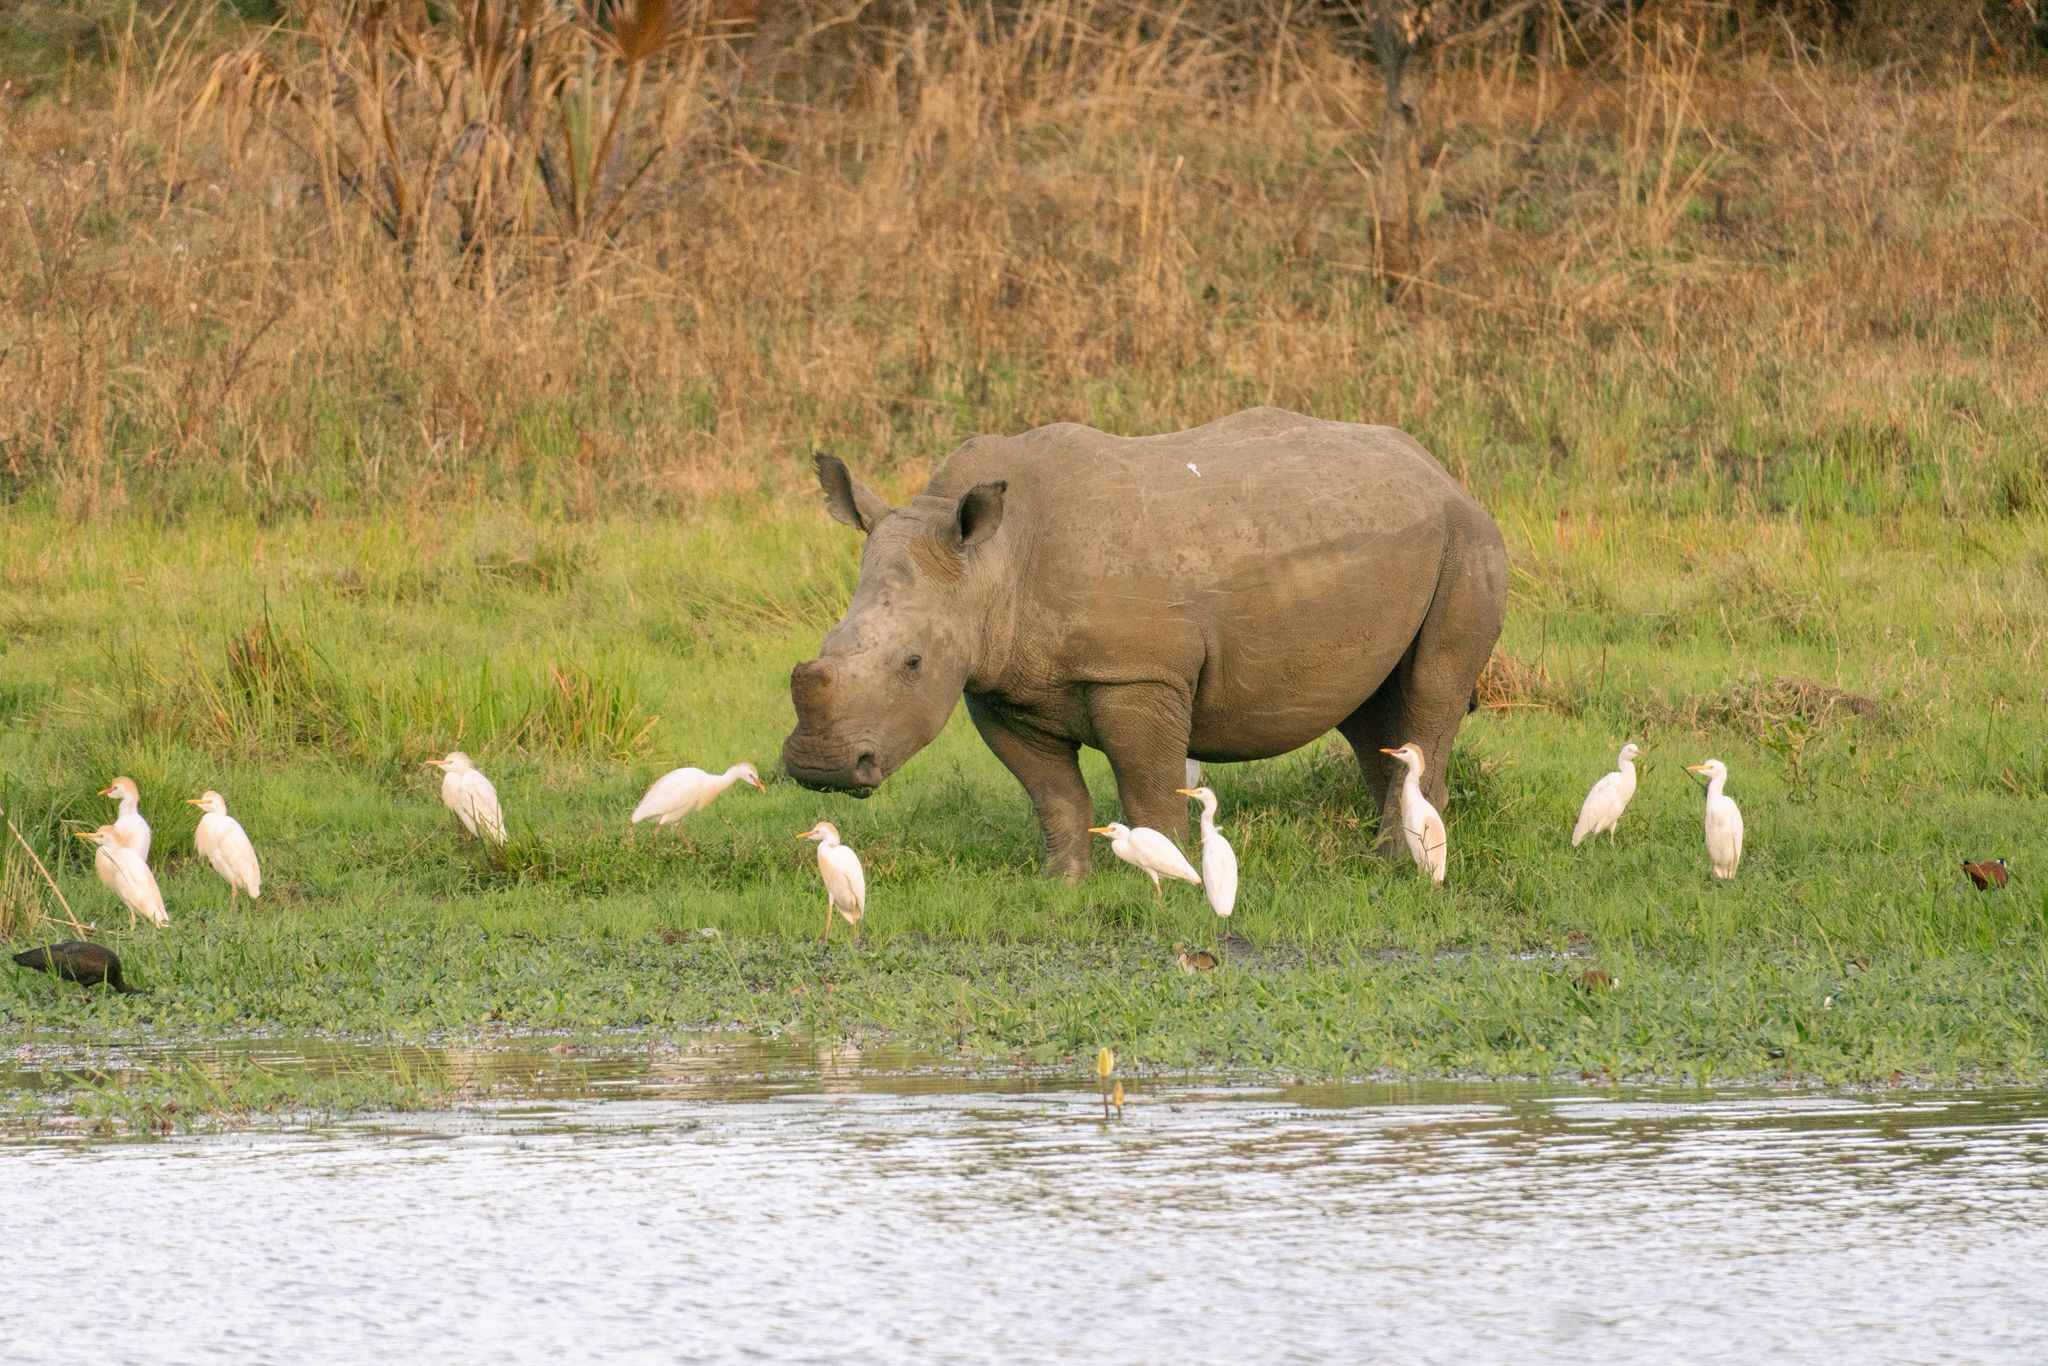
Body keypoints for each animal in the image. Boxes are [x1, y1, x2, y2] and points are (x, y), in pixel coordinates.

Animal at [782, 407, 1508, 880]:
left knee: (1431, 692)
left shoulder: (1137, 674)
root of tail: (1441, 471)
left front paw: (1168, 876)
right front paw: (1063, 885)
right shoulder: (996, 683)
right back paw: (1384, 857)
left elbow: (1148, 790)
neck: (995, 561)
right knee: (1367, 710)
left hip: (1467, 538)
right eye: (827, 640)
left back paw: (1392, 867)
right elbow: (1053, 796)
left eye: (912, 663)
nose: (820, 768)